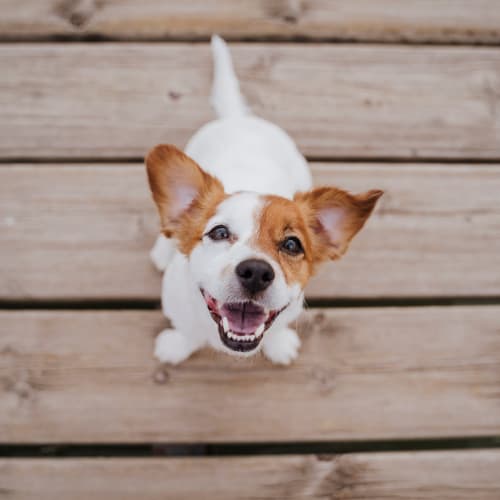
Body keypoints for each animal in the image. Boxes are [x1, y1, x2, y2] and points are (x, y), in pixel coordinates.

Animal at [146, 34, 380, 364]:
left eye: (292, 245)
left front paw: (279, 345)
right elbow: (186, 331)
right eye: (219, 232)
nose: (256, 272)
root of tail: (239, 118)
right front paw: (176, 346)